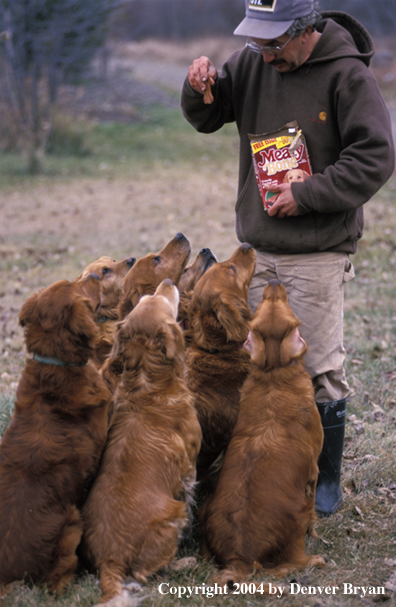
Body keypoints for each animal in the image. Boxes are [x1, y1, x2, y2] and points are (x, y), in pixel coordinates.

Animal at [78, 280, 201, 604]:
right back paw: (185, 562)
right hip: (173, 514)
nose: (167, 282)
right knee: (147, 571)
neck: (148, 384)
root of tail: (109, 560)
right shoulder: (189, 470)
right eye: (159, 300)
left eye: (147, 298)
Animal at [200, 280, 324, 588]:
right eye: (295, 320)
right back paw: (314, 560)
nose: (274, 282)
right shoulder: (314, 471)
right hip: (297, 518)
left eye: (266, 304)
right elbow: (315, 513)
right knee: (290, 563)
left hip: (205, 508)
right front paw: (317, 534)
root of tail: (239, 558)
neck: (273, 376)